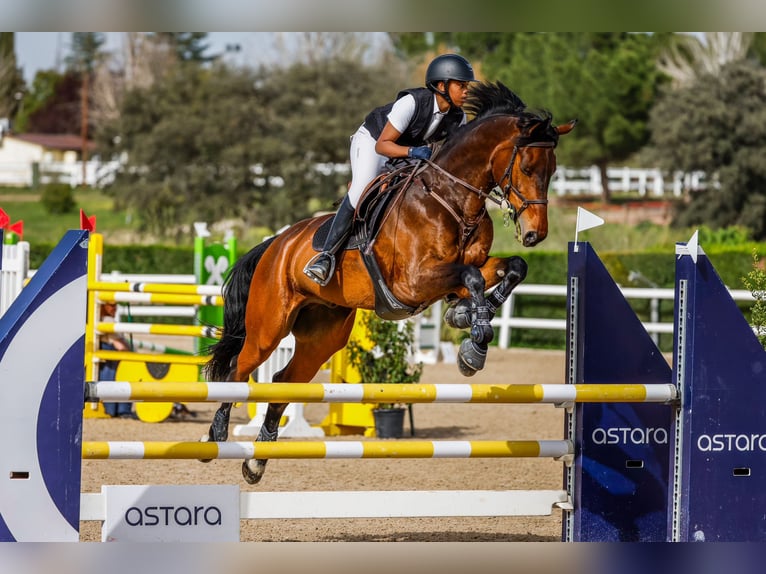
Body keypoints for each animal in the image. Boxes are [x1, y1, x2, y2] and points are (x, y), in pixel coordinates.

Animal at [202, 81, 576, 484]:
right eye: (527, 166)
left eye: (554, 171)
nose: (536, 234)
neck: (451, 200)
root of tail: (276, 243)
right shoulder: (413, 282)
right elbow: (471, 277)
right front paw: (473, 339)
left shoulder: (459, 269)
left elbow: (510, 269)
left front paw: (467, 321)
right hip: (268, 327)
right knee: (238, 368)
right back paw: (215, 435)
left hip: (323, 335)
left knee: (285, 378)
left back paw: (257, 459)